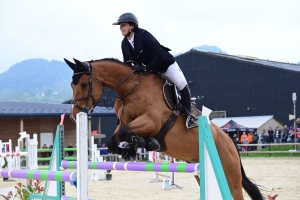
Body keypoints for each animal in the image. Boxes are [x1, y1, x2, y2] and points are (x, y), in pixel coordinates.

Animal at [64, 57, 264, 200]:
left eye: (83, 84)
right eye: (71, 85)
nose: (75, 114)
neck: (130, 89)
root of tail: (230, 142)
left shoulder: (151, 121)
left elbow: (125, 133)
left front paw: (144, 142)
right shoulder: (125, 122)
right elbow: (114, 141)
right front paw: (130, 149)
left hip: (230, 175)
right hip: (201, 174)